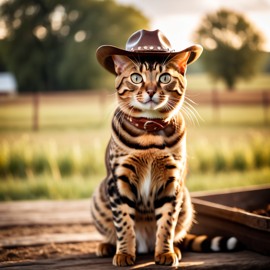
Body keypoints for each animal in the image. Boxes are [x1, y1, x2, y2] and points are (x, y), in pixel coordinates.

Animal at [90, 52, 238, 266]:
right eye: (136, 78)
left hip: (186, 199)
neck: (149, 135)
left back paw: (174, 249)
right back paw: (107, 246)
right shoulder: (119, 180)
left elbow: (167, 224)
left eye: (165, 78)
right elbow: (124, 222)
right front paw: (124, 253)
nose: (151, 91)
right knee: (113, 231)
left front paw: (165, 253)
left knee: (177, 234)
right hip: (99, 198)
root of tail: (144, 245)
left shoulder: (172, 181)